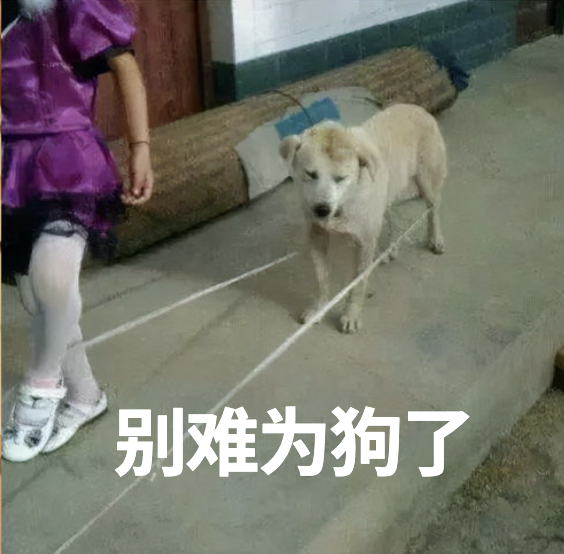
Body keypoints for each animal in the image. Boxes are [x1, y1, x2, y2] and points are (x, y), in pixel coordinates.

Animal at [279, 103, 447, 334]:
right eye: (310, 174)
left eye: (341, 178)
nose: (322, 210)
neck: (344, 201)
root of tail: (416, 107)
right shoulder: (316, 235)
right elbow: (322, 277)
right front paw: (321, 306)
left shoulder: (363, 241)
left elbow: (358, 284)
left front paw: (351, 314)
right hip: (391, 188)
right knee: (389, 212)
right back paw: (388, 249)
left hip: (427, 181)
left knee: (434, 209)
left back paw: (435, 238)